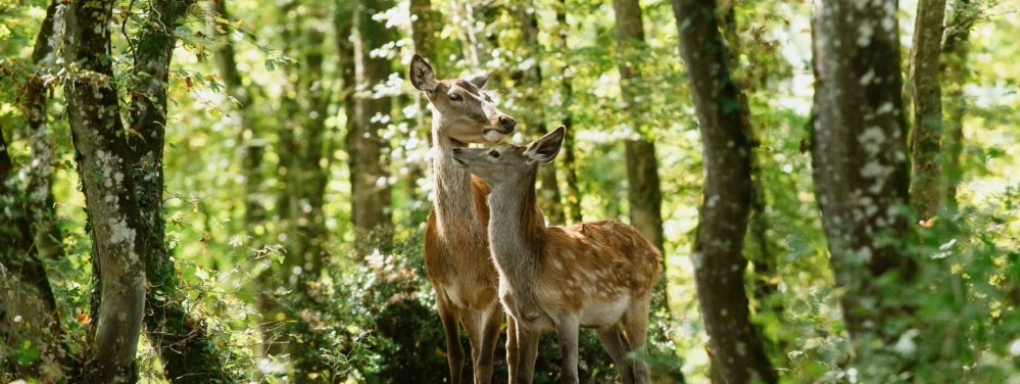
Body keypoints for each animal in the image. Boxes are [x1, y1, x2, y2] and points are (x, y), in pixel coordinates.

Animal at [408, 54, 518, 384]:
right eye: (455, 96)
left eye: (488, 96)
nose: (506, 120)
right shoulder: (441, 291)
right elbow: (455, 356)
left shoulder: (495, 292)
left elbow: (485, 364)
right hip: (469, 308)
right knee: (474, 348)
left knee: (512, 350)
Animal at [452, 126, 660, 384]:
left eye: (495, 153)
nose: (456, 148)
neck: (530, 268)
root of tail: (655, 252)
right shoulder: (526, 321)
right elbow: (523, 375)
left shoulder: (568, 310)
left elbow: (570, 375)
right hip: (605, 322)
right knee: (625, 365)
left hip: (640, 298)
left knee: (642, 367)